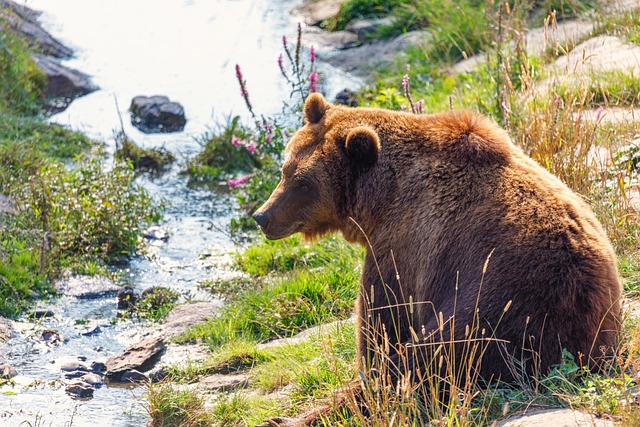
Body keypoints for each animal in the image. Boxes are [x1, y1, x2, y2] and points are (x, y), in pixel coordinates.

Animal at [252, 93, 624, 422]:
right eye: (285, 169)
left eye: (303, 183)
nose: (262, 216)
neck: (380, 199)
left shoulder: (403, 247)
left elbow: (381, 326)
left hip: (495, 314)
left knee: (418, 366)